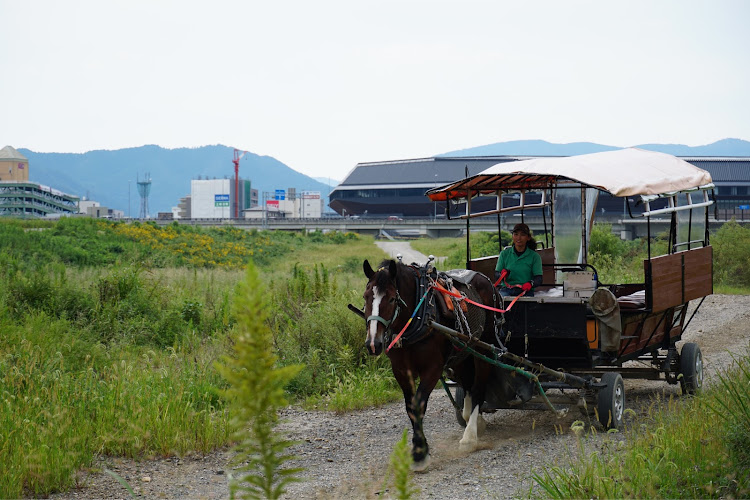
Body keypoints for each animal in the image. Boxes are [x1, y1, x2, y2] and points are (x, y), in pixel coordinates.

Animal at [362, 258, 502, 468]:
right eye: (365, 297)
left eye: (392, 299)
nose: (373, 344)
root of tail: (486, 280)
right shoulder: (401, 370)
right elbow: (410, 408)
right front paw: (420, 449)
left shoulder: (432, 369)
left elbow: (418, 405)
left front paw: (420, 453)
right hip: (461, 352)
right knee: (467, 383)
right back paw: (474, 420)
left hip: (483, 347)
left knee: (479, 385)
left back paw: (469, 436)